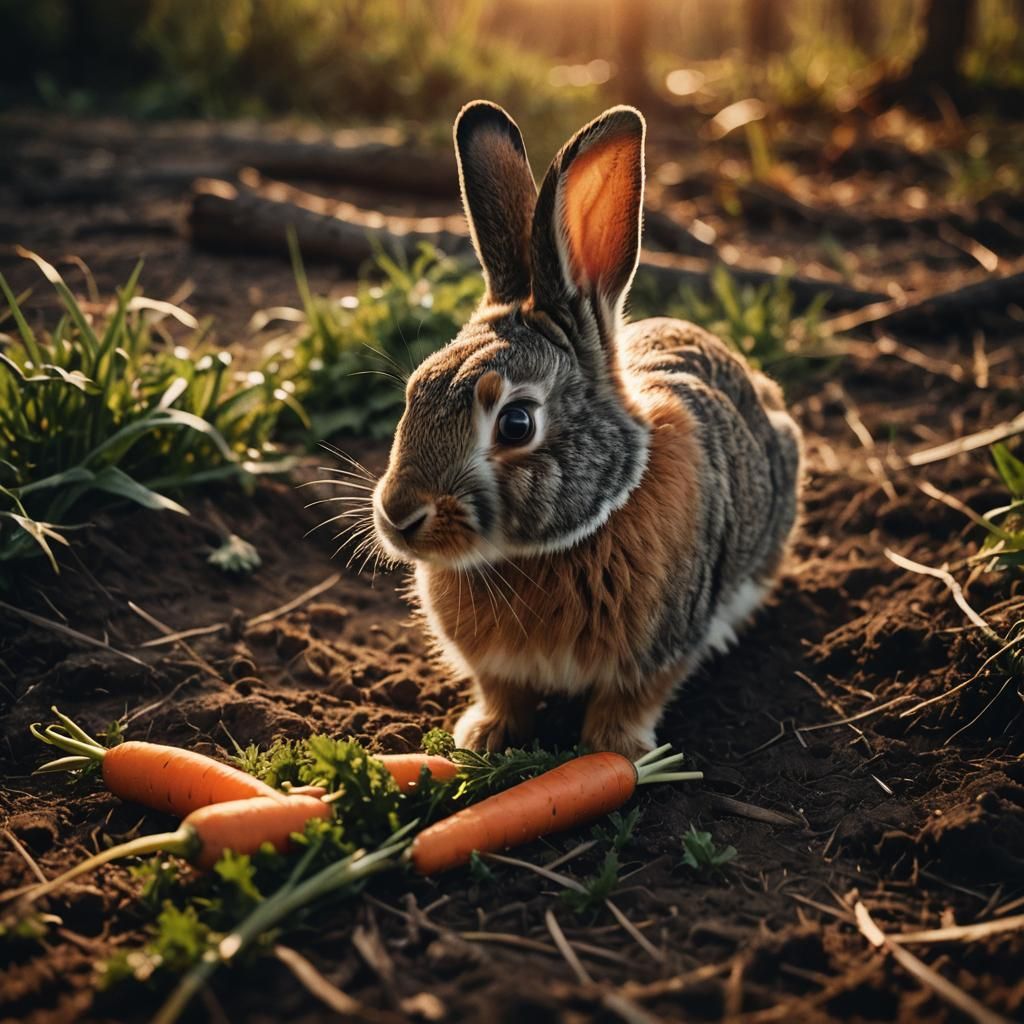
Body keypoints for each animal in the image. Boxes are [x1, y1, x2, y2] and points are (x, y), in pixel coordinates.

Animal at [371, 100, 803, 758]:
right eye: (415, 391)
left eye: (516, 422)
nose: (398, 514)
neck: (543, 550)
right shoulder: (496, 667)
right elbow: (503, 693)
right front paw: (483, 736)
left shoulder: (657, 652)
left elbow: (630, 702)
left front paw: (615, 751)